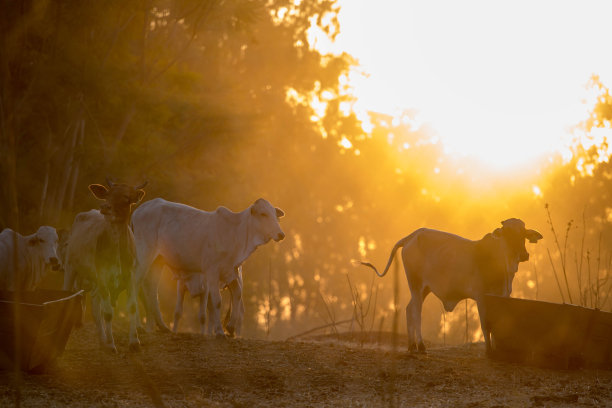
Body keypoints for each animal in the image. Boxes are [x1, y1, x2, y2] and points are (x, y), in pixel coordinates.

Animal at [62, 180, 146, 352]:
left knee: (95, 308)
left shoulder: (130, 275)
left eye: (126, 197)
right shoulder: (103, 276)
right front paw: (112, 344)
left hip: (94, 281)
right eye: (107, 195)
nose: (105, 207)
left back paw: (102, 340)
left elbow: (132, 306)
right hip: (70, 269)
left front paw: (134, 342)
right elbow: (107, 313)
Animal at [131, 198, 284, 338]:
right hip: (144, 255)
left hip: (158, 261)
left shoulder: (231, 271)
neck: (235, 234)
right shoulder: (212, 273)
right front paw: (219, 331)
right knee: (135, 283)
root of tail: (139, 209)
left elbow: (237, 294)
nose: (281, 234)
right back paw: (138, 326)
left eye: (275, 215)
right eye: (263, 214)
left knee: (151, 289)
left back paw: (161, 326)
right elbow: (217, 302)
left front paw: (230, 327)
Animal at [360, 218, 544, 356]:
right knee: (416, 311)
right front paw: (489, 351)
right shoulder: (481, 297)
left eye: (524, 234)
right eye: (508, 234)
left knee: (409, 308)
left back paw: (411, 346)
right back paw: (421, 346)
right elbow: (485, 325)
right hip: (416, 284)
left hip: (424, 288)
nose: (524, 255)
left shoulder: (503, 297)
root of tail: (413, 235)